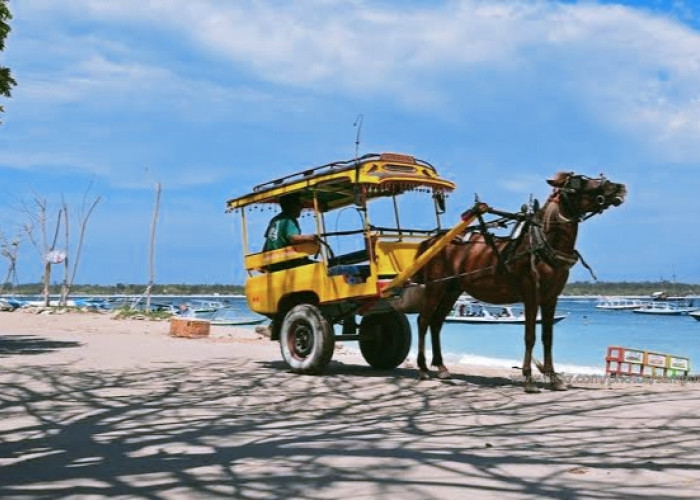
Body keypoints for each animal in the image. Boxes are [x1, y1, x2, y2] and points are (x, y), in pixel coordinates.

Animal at [412, 174, 628, 392]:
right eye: (579, 181)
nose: (620, 187)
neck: (543, 244)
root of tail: (432, 240)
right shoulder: (531, 293)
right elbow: (530, 336)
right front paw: (529, 379)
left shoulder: (551, 297)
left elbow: (548, 337)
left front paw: (554, 379)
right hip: (435, 286)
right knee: (423, 321)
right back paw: (422, 368)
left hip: (452, 289)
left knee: (436, 323)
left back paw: (441, 367)